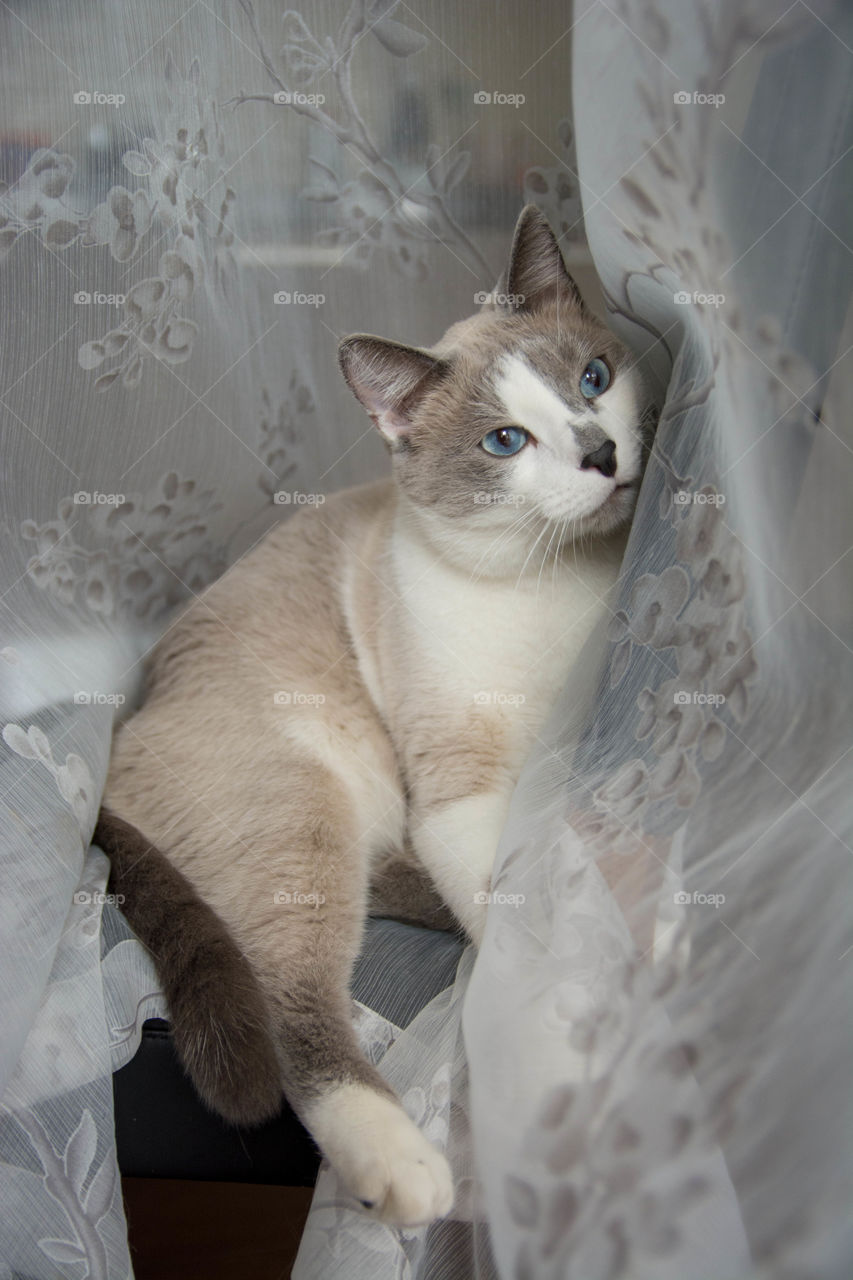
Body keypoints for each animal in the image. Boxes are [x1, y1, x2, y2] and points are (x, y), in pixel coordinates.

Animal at [96, 204, 650, 1223]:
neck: (554, 579)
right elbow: (526, 927)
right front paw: (564, 1058)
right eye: (505, 443)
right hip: (306, 804)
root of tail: (126, 724)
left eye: (592, 380)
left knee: (394, 883)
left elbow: (579, 863)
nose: (600, 455)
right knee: (294, 1010)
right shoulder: (461, 796)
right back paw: (403, 1170)